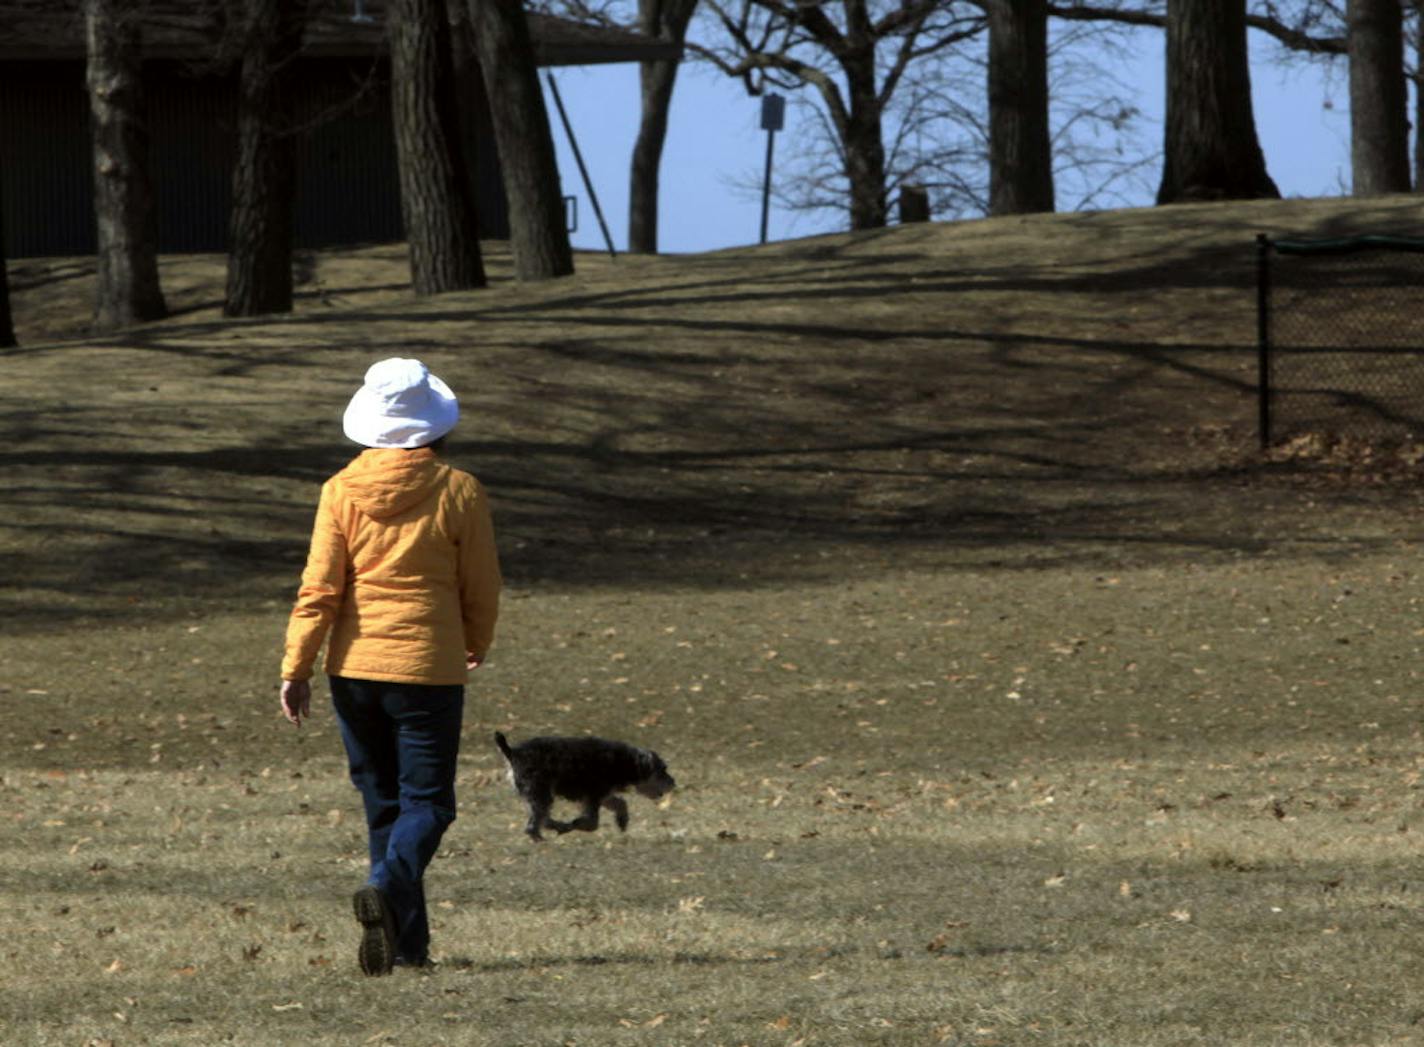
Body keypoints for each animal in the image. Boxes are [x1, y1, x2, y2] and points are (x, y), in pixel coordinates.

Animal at [498, 735, 674, 837]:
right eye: (663, 769)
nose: (673, 783)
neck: (626, 762)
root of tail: (513, 753)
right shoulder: (593, 796)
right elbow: (592, 823)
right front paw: (577, 823)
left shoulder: (603, 796)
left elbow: (620, 803)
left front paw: (622, 821)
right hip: (541, 793)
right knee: (534, 825)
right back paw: (544, 836)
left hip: (538, 795)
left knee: (543, 819)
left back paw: (560, 827)